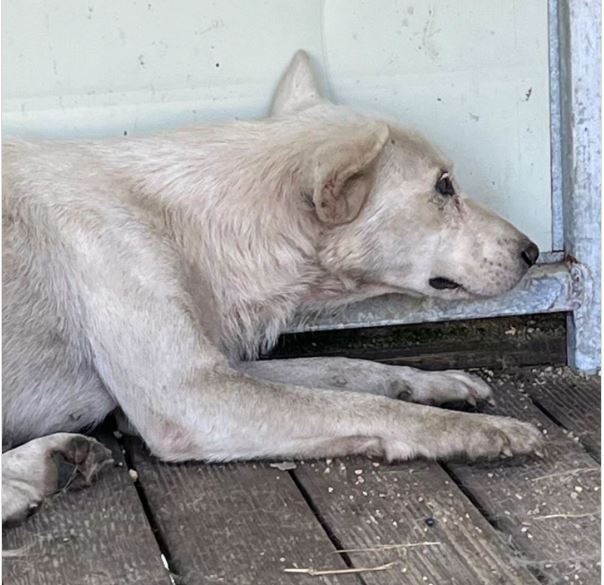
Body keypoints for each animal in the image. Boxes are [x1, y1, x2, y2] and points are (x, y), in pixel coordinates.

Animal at [2, 51, 544, 524]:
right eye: (444, 187)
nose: (534, 252)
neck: (185, 225)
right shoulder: (187, 397)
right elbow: (360, 406)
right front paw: (483, 431)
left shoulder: (221, 369)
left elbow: (348, 369)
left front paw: (439, 383)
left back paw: (50, 462)